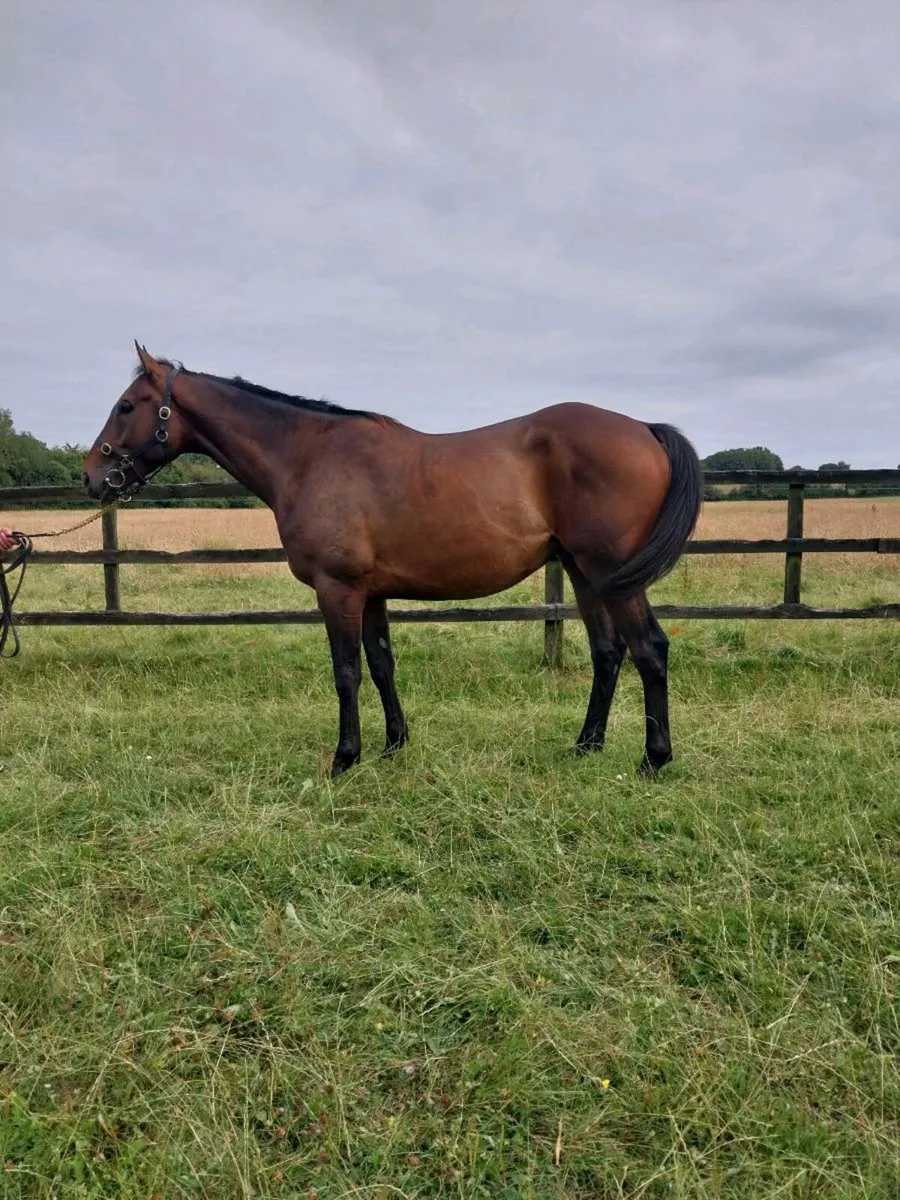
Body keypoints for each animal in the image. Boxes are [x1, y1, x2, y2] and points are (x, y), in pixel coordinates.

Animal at [81, 343, 703, 779]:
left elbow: (347, 672)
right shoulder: (372, 593)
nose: (90, 477)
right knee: (608, 652)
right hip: (584, 572)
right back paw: (585, 746)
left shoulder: (338, 590)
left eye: (127, 406)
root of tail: (644, 430)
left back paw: (653, 759)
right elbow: (381, 664)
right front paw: (393, 746)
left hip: (610, 572)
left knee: (649, 649)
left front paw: (344, 758)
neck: (309, 457)